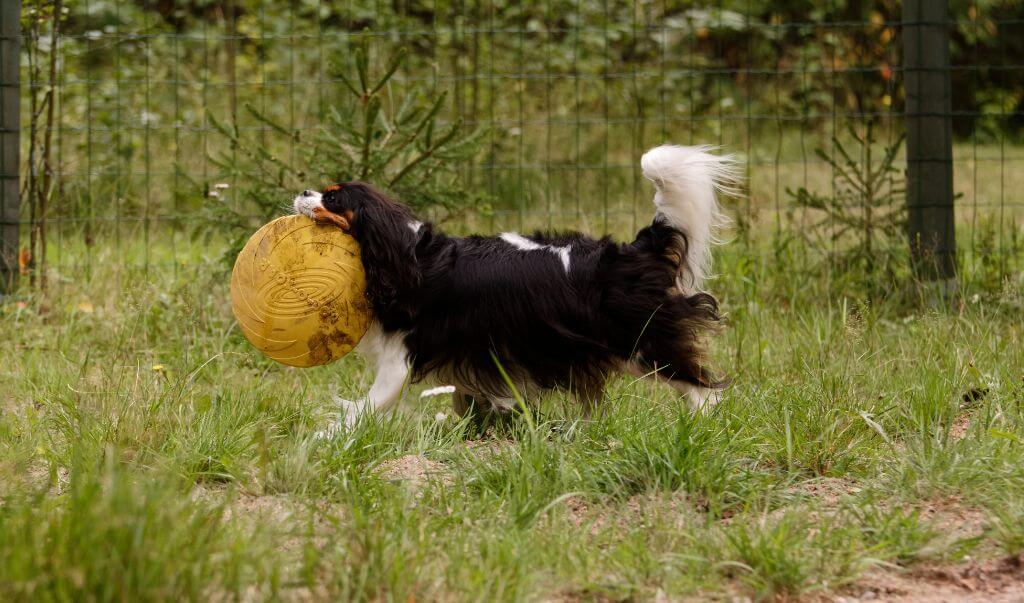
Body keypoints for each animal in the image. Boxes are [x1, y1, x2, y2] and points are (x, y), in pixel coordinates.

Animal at [292, 145, 741, 427]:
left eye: (332, 199)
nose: (303, 190)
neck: (407, 253)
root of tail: (633, 250)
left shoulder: (400, 358)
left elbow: (368, 405)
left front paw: (326, 437)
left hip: (641, 340)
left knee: (701, 389)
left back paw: (700, 427)